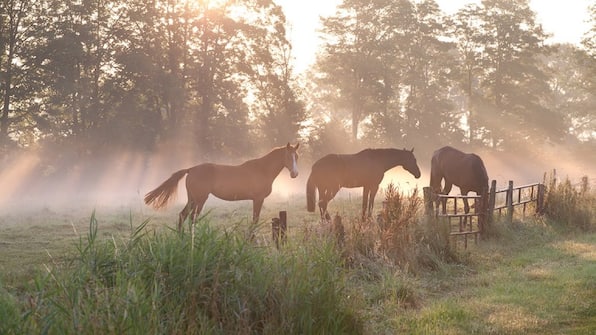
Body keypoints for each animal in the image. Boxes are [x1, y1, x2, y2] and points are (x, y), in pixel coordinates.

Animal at [144, 142, 300, 231]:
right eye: (288, 156)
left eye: (297, 156)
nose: (295, 174)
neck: (262, 169)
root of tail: (191, 169)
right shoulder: (258, 199)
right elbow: (255, 221)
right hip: (200, 200)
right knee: (192, 218)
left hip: (192, 199)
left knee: (183, 216)